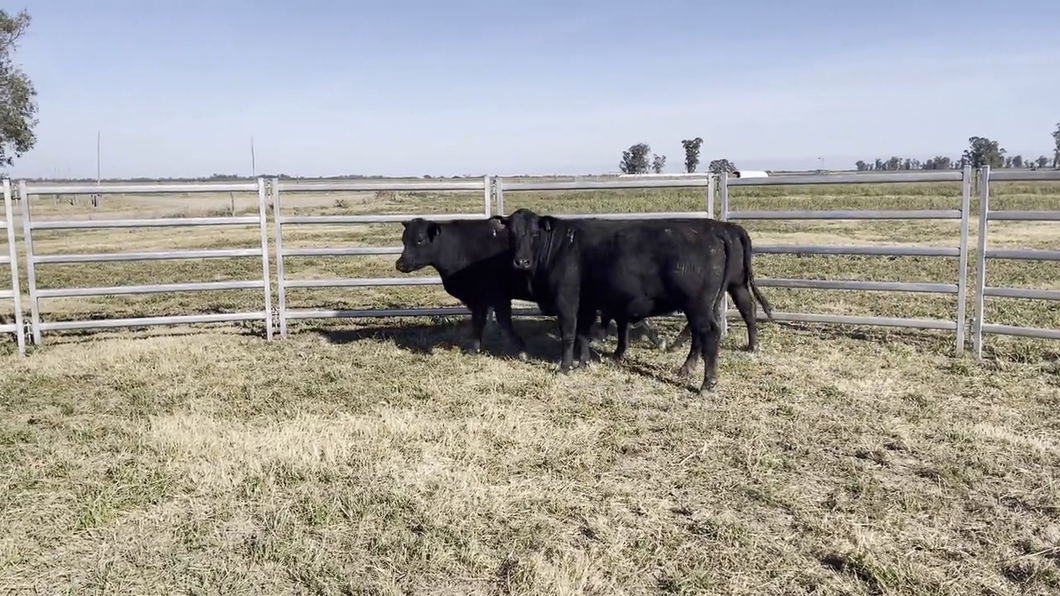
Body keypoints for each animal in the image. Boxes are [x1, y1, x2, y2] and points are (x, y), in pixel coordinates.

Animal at [396, 217, 534, 356]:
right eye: (404, 240)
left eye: (420, 239)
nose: (400, 264)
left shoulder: (492, 298)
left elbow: (498, 323)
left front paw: (520, 351)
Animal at [489, 208, 733, 394]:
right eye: (511, 233)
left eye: (534, 233)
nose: (521, 261)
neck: (560, 248)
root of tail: (713, 232)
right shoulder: (586, 304)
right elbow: (583, 334)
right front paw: (583, 362)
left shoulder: (566, 301)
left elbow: (568, 335)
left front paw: (564, 367)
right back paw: (689, 370)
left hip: (698, 306)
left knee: (710, 333)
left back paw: (707, 384)